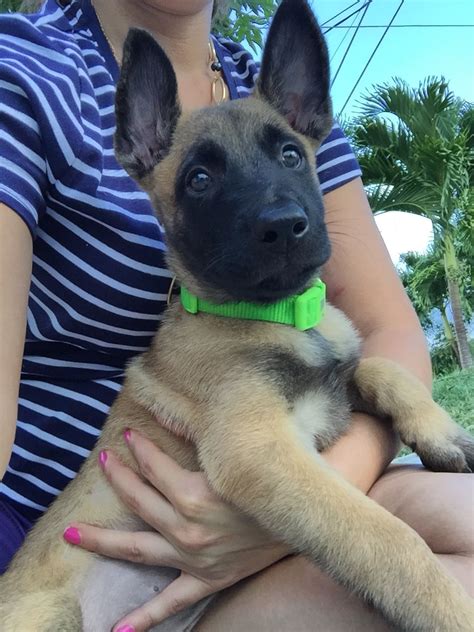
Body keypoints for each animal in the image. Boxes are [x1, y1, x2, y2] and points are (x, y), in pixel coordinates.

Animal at [0, 0, 474, 628]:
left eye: (292, 155)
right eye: (199, 180)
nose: (283, 226)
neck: (280, 314)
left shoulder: (335, 383)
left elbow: (378, 368)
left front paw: (443, 434)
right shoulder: (256, 450)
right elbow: (387, 537)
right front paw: (449, 608)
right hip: (54, 611)